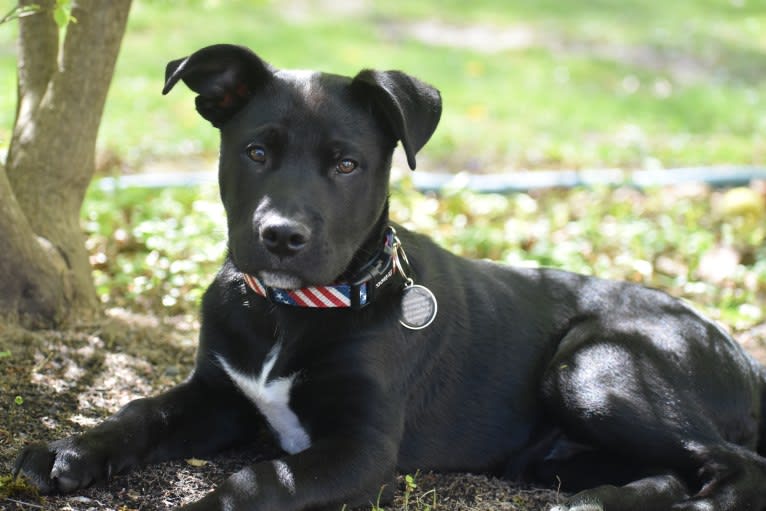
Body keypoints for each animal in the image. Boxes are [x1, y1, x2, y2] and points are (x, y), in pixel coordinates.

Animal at [13, 45, 766, 511]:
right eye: (256, 152)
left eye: (347, 164)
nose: (281, 236)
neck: (289, 312)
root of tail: (743, 356)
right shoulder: (219, 395)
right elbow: (142, 410)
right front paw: (68, 451)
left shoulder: (362, 449)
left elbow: (258, 482)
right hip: (556, 449)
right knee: (674, 471)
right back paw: (596, 501)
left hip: (594, 365)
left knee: (736, 466)